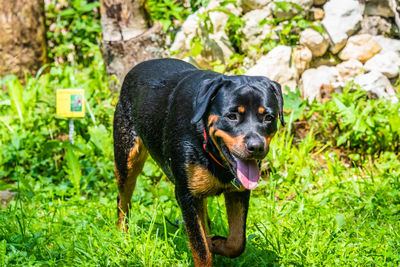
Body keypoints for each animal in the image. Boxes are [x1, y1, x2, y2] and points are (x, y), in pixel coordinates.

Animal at [112, 58, 284, 266]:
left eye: (268, 117)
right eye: (232, 116)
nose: (256, 146)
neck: (208, 145)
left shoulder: (238, 191)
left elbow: (237, 241)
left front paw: (215, 242)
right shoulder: (185, 194)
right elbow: (200, 248)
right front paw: (208, 246)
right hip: (127, 156)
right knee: (123, 199)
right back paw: (123, 238)